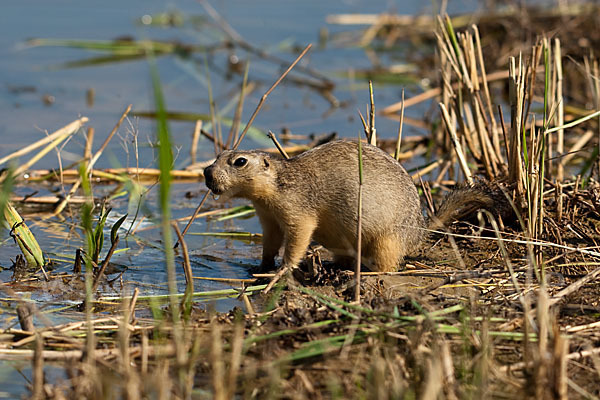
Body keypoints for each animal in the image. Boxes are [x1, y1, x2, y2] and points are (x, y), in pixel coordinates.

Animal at [204, 139, 504, 274]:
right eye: (219, 154)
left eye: (239, 162)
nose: (207, 172)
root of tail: (419, 232)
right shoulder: (268, 217)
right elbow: (270, 241)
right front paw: (262, 265)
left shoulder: (296, 210)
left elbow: (299, 237)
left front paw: (283, 270)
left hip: (388, 241)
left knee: (387, 267)